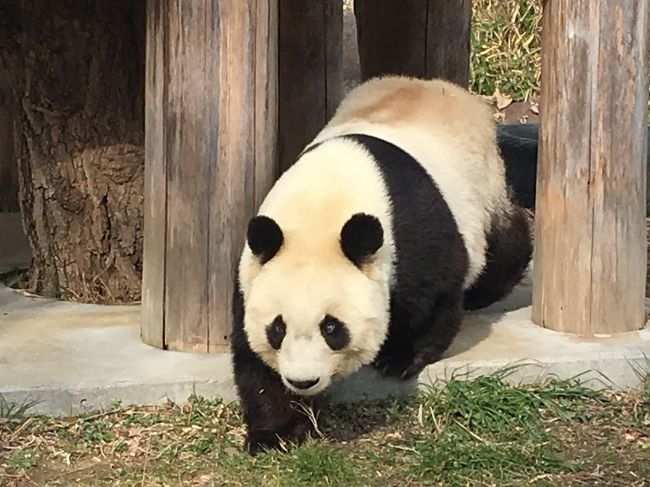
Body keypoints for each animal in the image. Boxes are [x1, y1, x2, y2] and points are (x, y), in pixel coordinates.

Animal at [230, 75, 528, 454]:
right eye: (277, 328)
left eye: (332, 328)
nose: (303, 380)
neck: (321, 204)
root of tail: (439, 86)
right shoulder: (254, 271)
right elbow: (251, 357)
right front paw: (274, 432)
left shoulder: (412, 234)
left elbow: (434, 295)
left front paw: (399, 359)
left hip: (482, 186)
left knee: (501, 246)